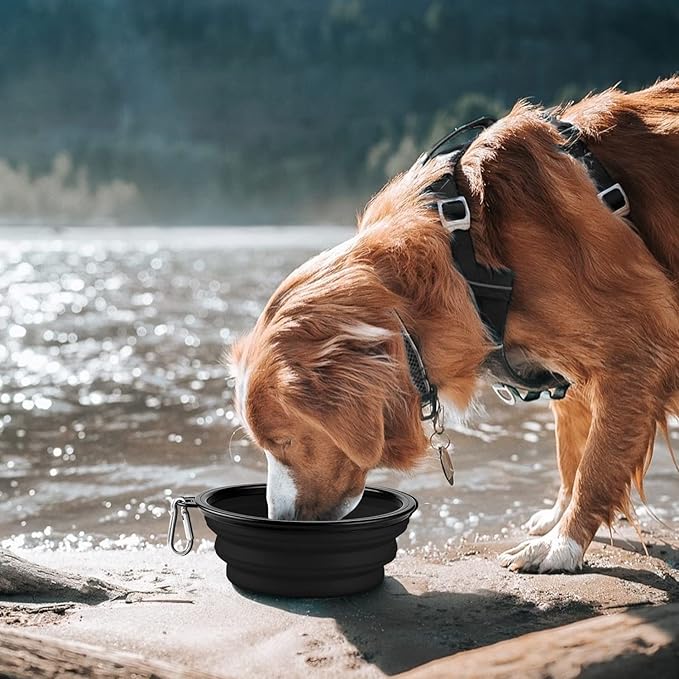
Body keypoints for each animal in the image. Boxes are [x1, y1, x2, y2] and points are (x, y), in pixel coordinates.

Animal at [230, 78, 679, 572]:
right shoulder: (573, 367)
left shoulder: (636, 354)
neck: (471, 256)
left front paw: (562, 543)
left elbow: (596, 465)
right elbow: (572, 451)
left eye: (284, 441)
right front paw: (556, 516)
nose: (280, 520)